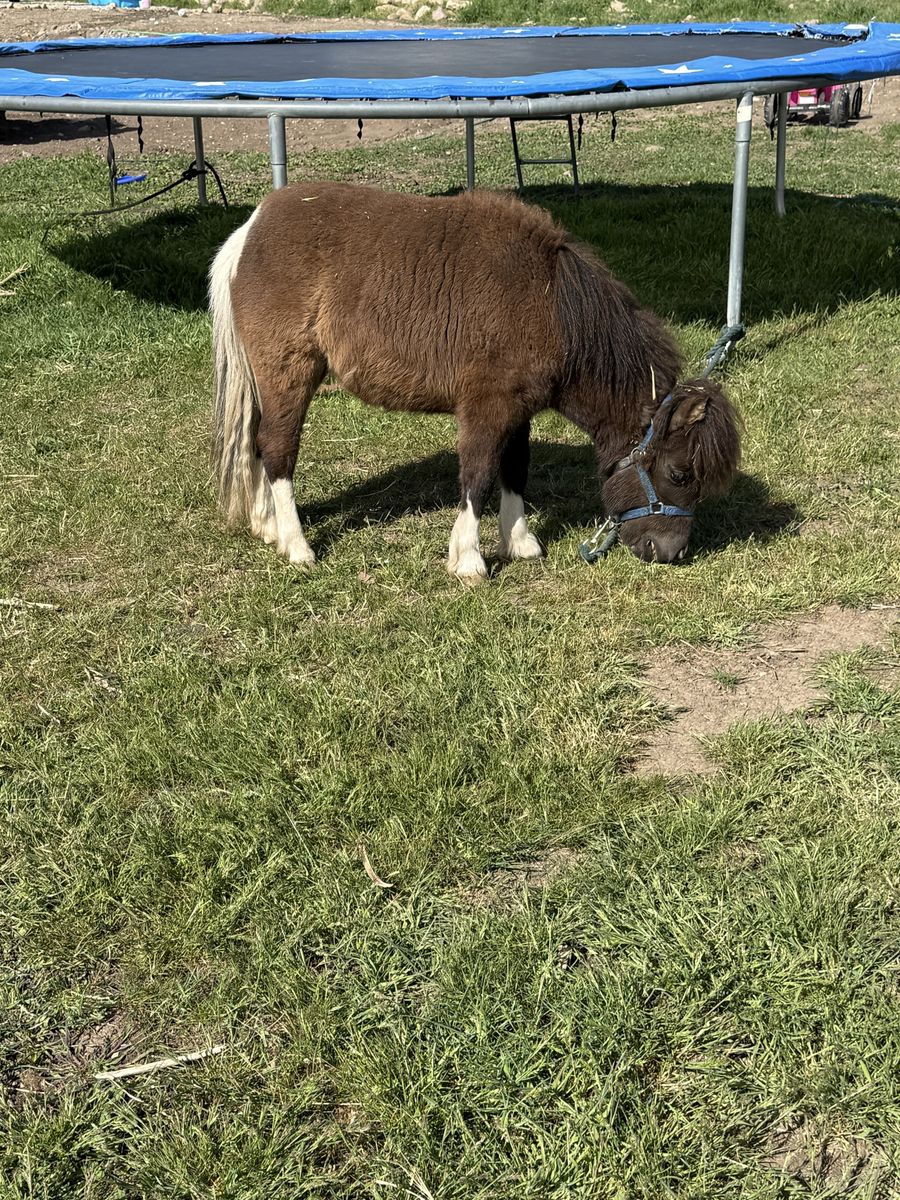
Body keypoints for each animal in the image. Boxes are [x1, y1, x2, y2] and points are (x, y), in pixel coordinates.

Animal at [209, 182, 741, 581]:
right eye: (680, 474)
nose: (668, 552)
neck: (551, 304)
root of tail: (249, 231)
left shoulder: (519, 409)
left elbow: (515, 469)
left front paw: (520, 541)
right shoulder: (487, 407)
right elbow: (479, 475)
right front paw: (468, 559)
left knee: (256, 443)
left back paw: (266, 525)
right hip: (290, 372)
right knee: (278, 450)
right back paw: (297, 545)